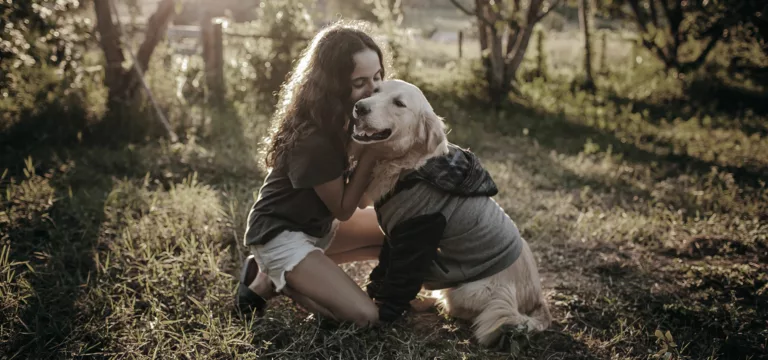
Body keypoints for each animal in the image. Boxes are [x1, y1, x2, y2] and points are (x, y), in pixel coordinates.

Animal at [354, 80, 552, 348]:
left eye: (399, 103)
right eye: (375, 91)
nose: (359, 107)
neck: (410, 169)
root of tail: (537, 300)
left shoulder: (419, 234)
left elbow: (399, 283)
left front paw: (383, 316)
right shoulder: (394, 236)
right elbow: (384, 268)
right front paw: (374, 288)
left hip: (467, 291)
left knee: (458, 309)